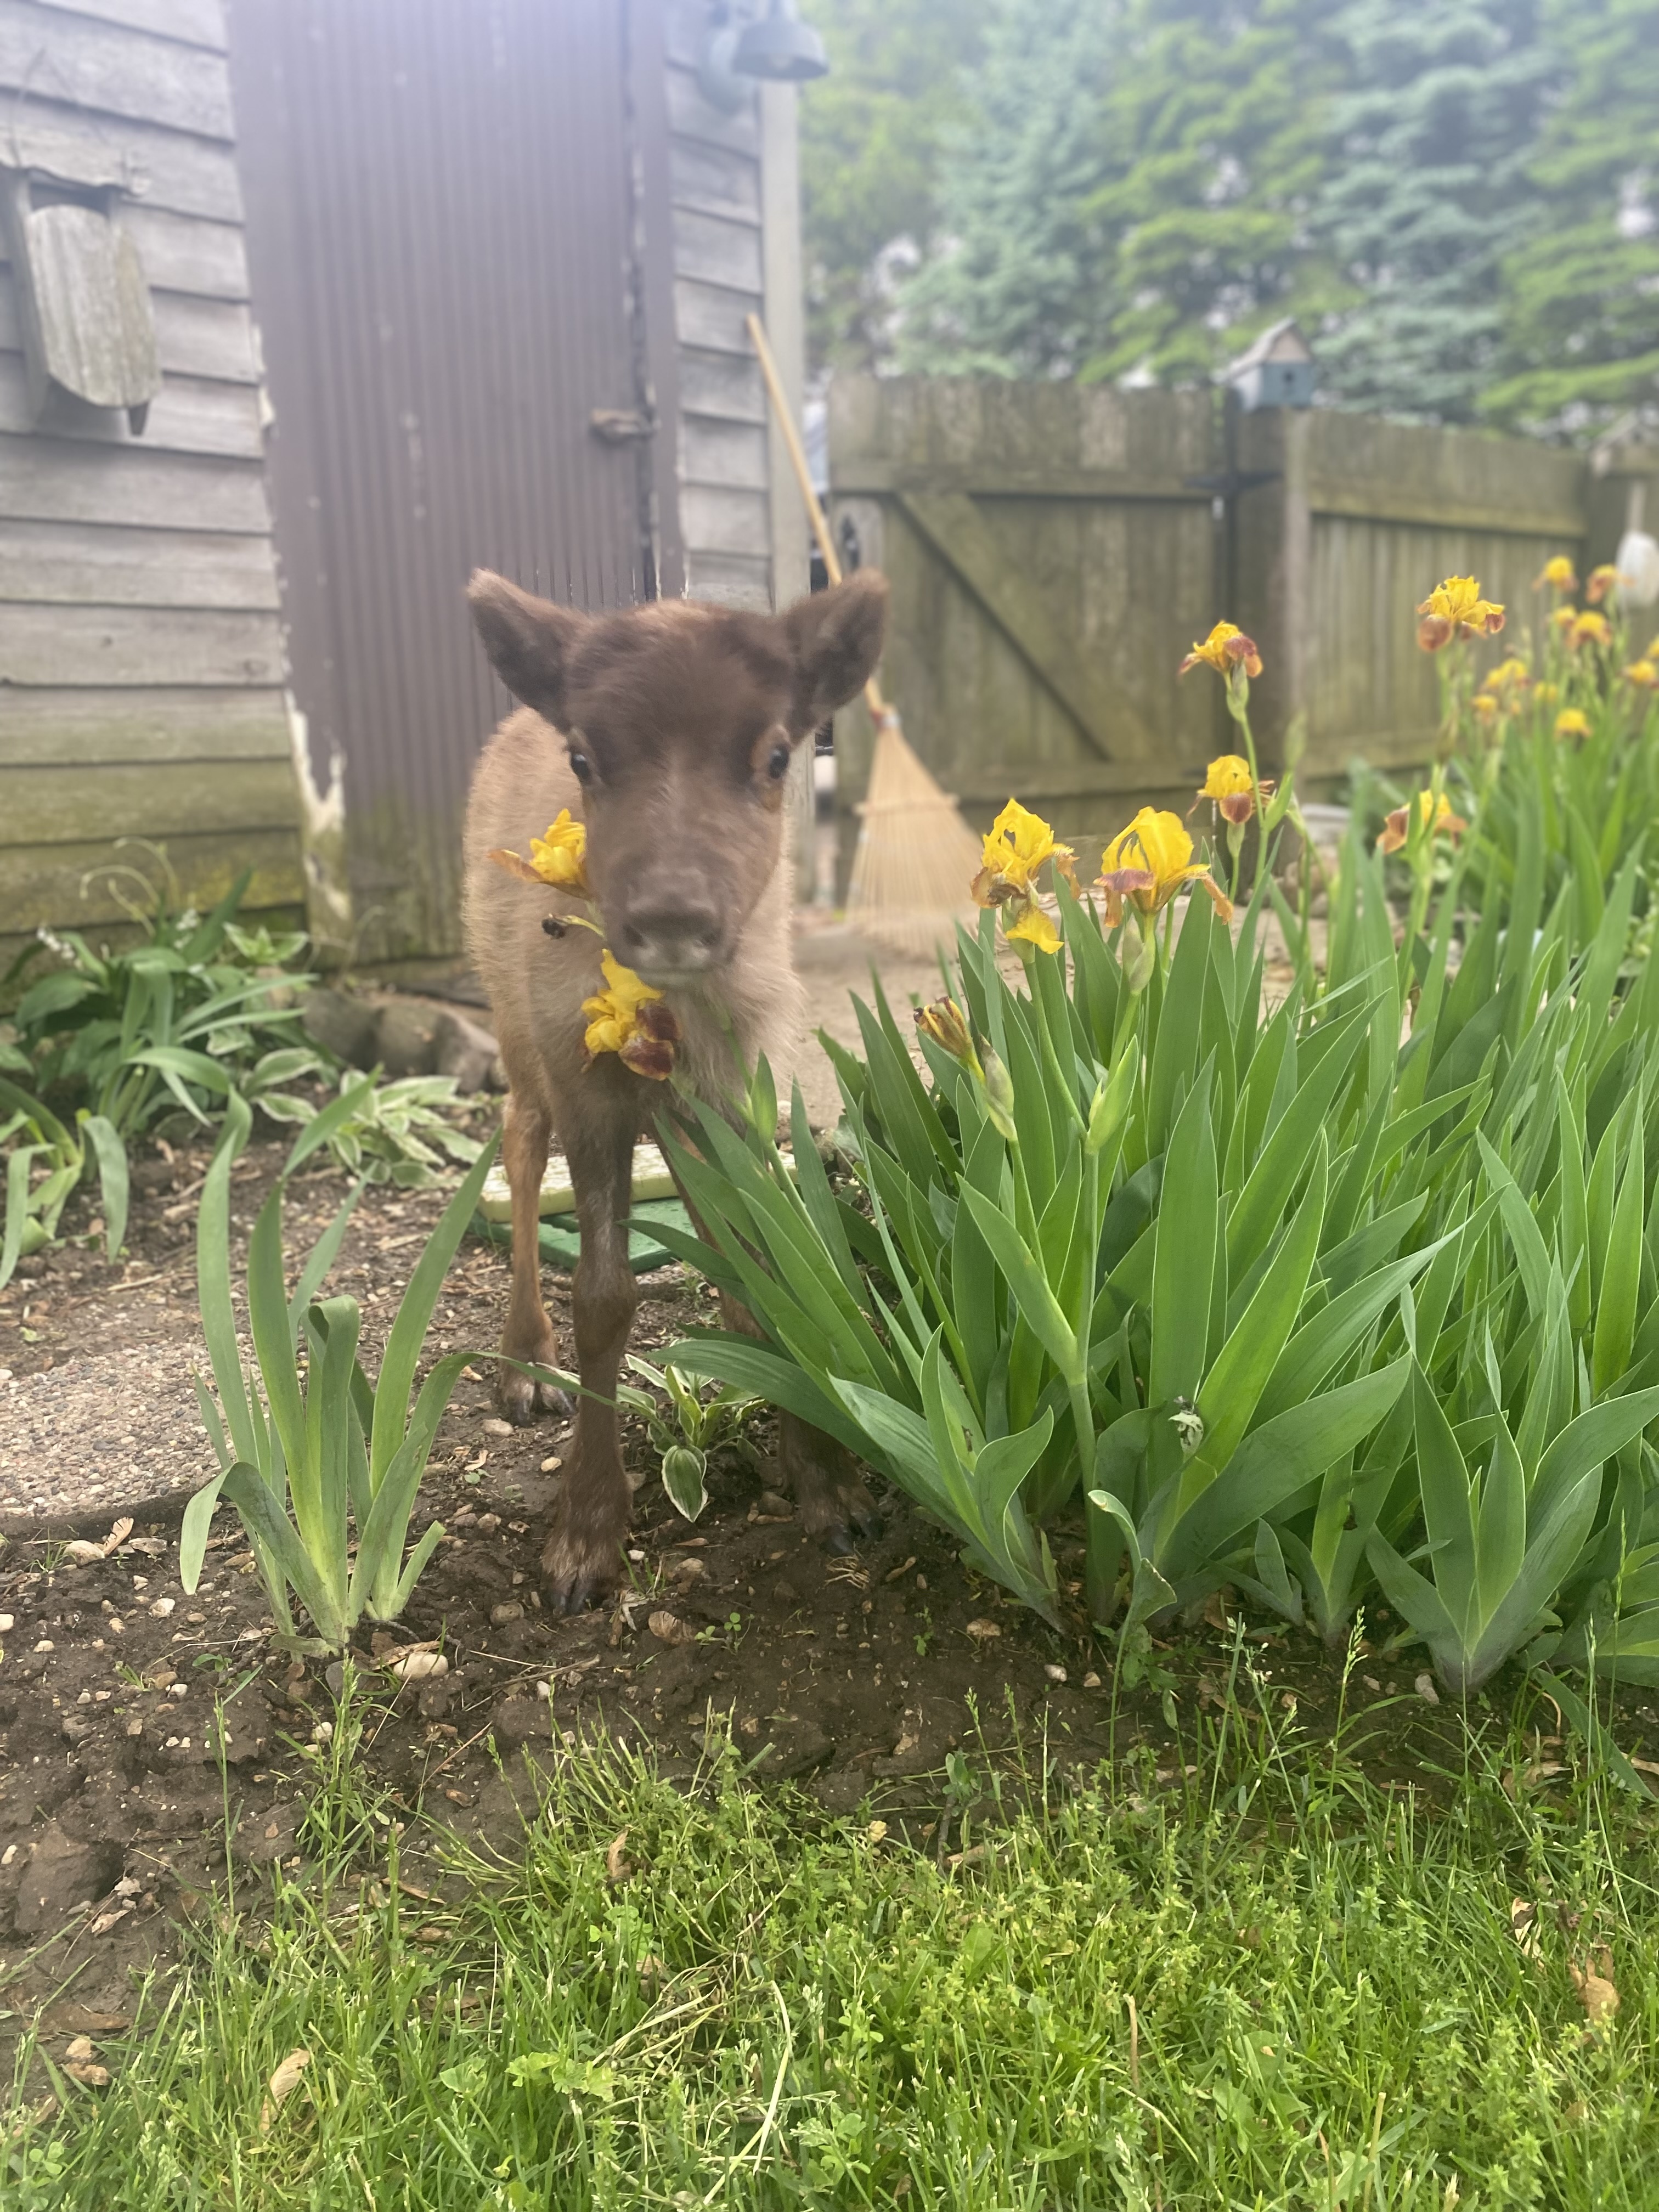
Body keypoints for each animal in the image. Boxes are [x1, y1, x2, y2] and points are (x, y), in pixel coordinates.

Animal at [462, 571, 889, 1610]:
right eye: (583, 755)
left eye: (775, 752)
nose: (670, 918)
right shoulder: (588, 1091)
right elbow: (603, 1295)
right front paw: (583, 1536)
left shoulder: (739, 1087)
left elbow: (762, 1264)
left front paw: (827, 1483)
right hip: (518, 1037)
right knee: (518, 1154)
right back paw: (525, 1359)